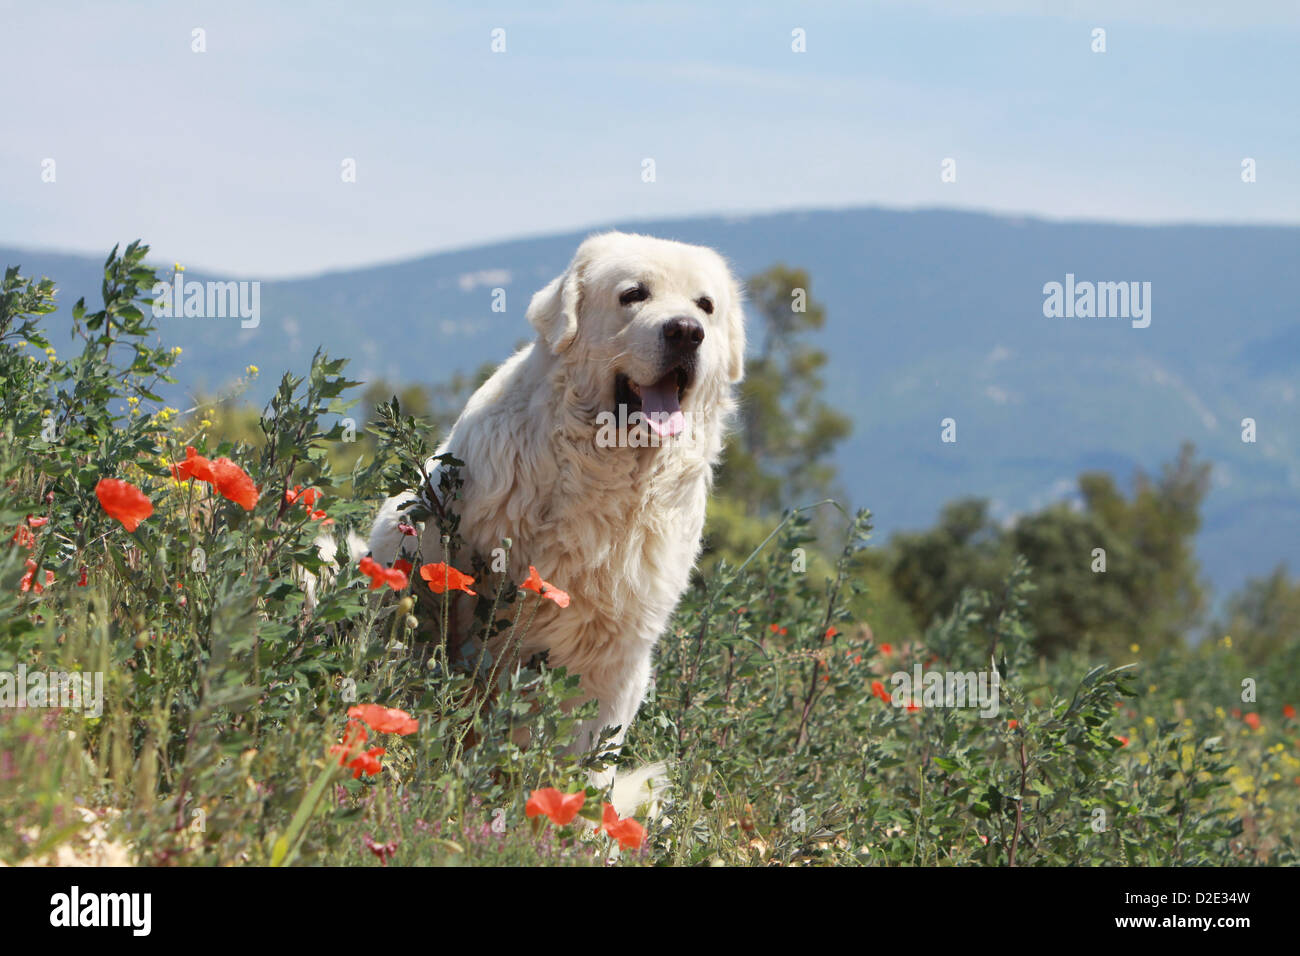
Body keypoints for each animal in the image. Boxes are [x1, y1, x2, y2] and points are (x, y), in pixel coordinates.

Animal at [371, 231, 748, 785]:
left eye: (706, 306)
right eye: (634, 294)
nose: (686, 331)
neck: (607, 471)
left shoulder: (615, 658)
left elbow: (588, 753)